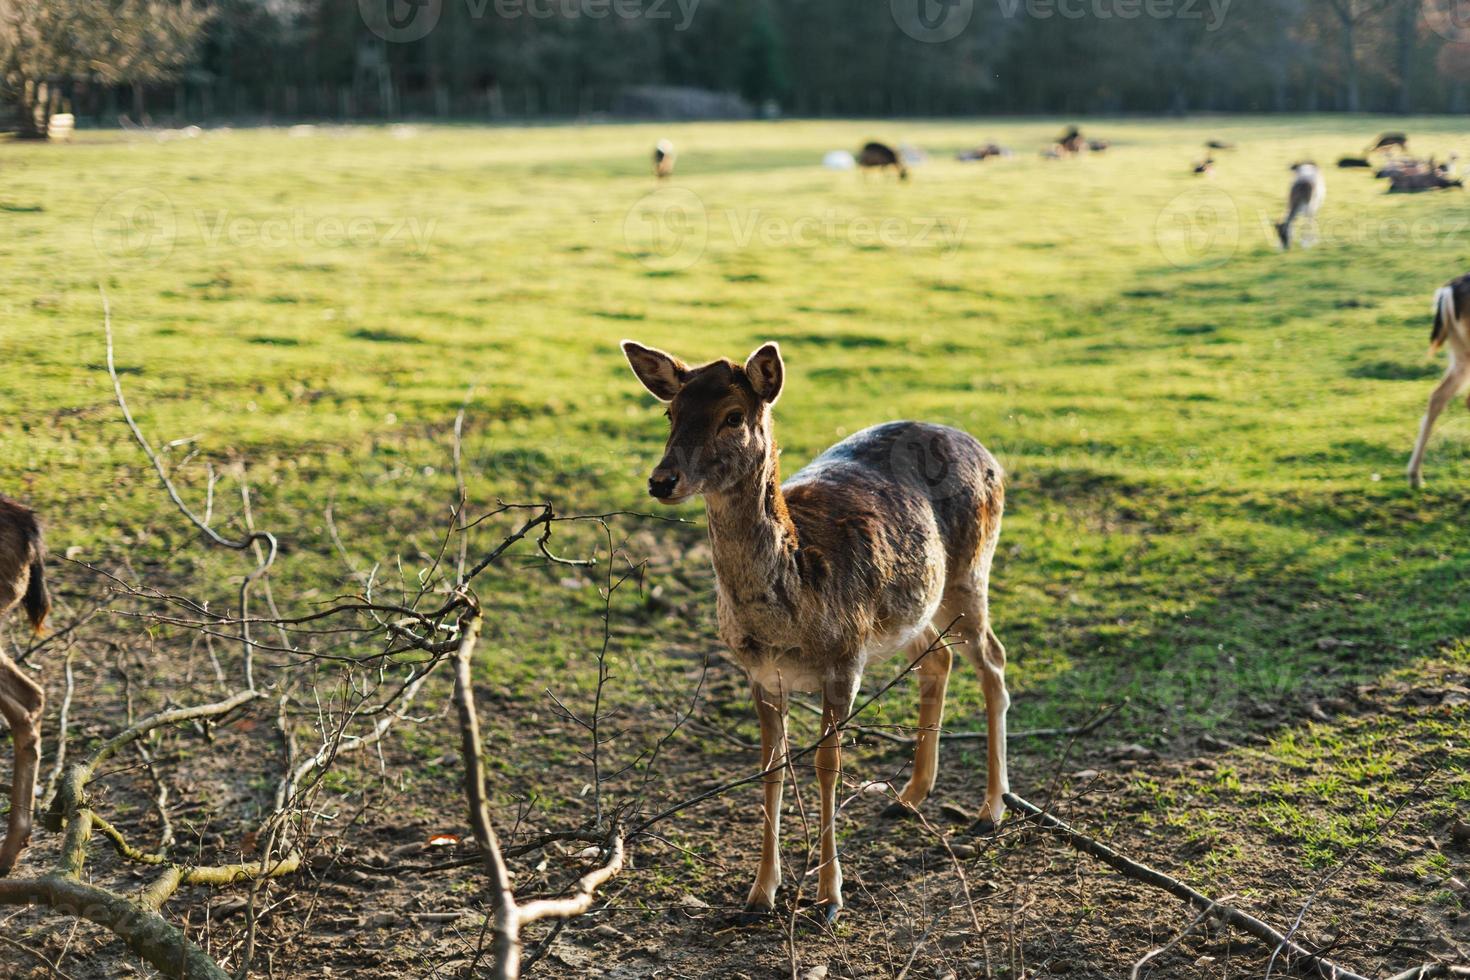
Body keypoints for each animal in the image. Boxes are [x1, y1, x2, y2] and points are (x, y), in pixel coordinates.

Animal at [620, 340, 1011, 922]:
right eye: (670, 413)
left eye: (733, 416)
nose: (661, 480)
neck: (789, 613)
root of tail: (989, 456)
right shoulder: (759, 672)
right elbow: (770, 767)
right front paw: (759, 894)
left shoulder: (845, 659)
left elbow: (829, 764)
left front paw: (829, 897)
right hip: (915, 605)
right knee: (937, 660)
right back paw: (908, 798)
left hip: (969, 572)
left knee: (994, 662)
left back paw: (990, 810)